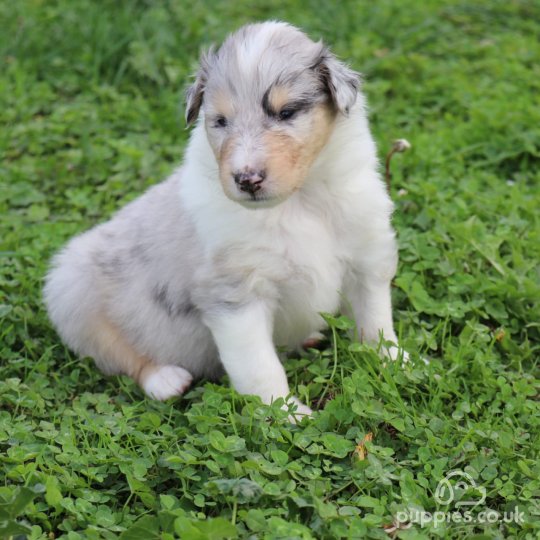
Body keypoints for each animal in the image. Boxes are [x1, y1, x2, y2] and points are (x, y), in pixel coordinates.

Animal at [44, 21, 402, 418]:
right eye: (220, 121)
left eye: (286, 112)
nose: (247, 180)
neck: (299, 202)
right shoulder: (235, 294)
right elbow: (260, 366)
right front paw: (285, 415)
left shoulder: (366, 257)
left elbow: (375, 322)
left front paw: (398, 363)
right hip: (72, 293)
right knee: (115, 353)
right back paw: (165, 380)